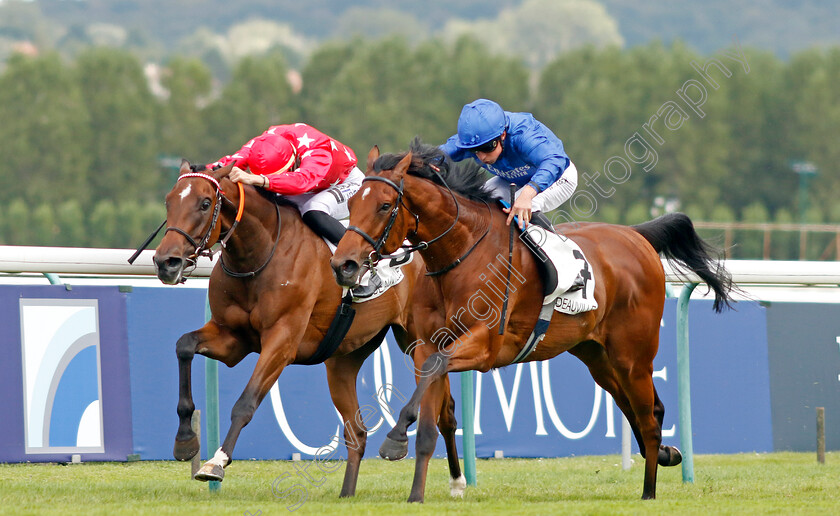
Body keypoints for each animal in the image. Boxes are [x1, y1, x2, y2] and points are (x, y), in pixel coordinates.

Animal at [153, 161, 466, 496]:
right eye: (168, 202)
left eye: (204, 203)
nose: (165, 262)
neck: (260, 253)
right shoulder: (231, 339)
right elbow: (184, 345)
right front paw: (185, 441)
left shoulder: (282, 341)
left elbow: (246, 402)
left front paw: (216, 462)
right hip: (344, 359)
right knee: (357, 432)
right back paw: (347, 493)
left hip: (419, 340)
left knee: (445, 411)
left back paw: (456, 481)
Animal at [332, 143, 732, 502]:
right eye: (350, 204)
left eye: (385, 205)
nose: (343, 265)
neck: (461, 254)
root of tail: (637, 236)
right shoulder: (425, 345)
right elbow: (431, 410)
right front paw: (416, 491)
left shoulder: (486, 346)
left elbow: (437, 373)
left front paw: (395, 440)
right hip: (599, 358)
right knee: (641, 409)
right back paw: (666, 455)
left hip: (633, 357)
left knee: (647, 419)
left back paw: (649, 491)